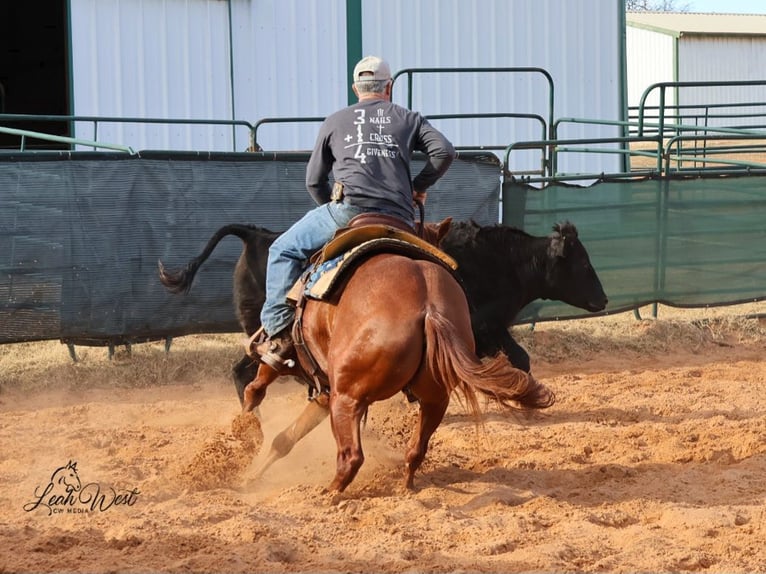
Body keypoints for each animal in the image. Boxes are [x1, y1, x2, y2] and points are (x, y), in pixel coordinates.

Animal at [240, 250, 555, 492]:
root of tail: (429, 309)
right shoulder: (325, 391)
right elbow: (285, 438)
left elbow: (258, 385)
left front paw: (244, 427)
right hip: (434, 398)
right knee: (416, 449)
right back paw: (406, 487)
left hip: (347, 398)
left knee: (351, 456)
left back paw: (329, 494)